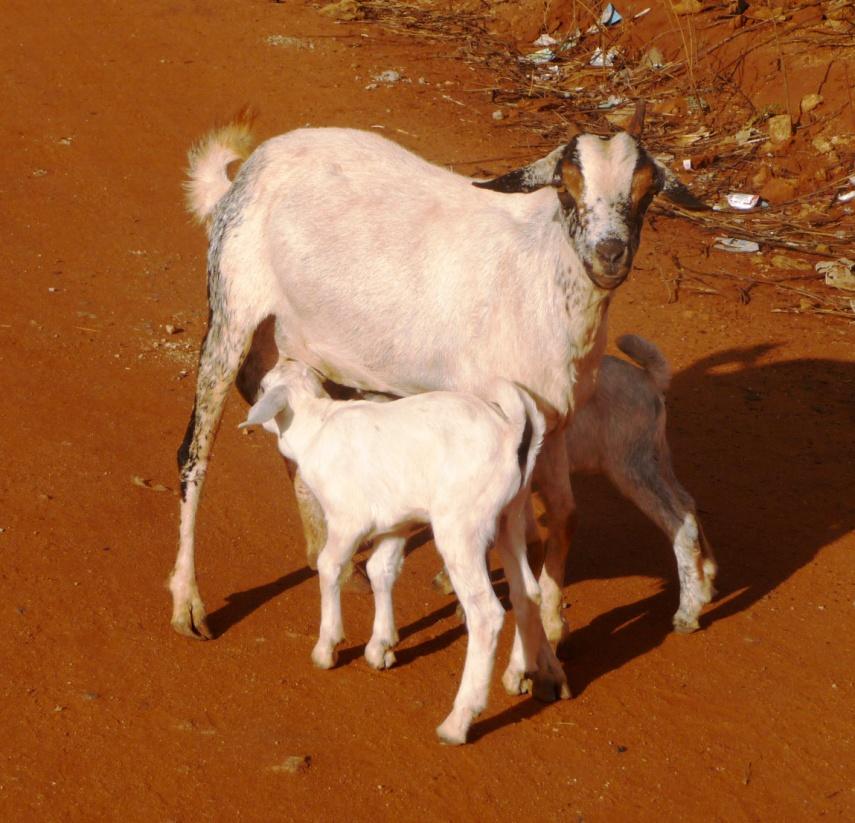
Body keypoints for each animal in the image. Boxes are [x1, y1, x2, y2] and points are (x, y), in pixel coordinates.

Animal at [171, 106, 704, 652]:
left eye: (647, 188)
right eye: (566, 184)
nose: (609, 253)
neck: (539, 271)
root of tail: (251, 170)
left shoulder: (554, 422)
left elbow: (564, 515)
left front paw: (554, 624)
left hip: (297, 348)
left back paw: (331, 559)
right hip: (233, 312)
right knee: (194, 454)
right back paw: (189, 604)